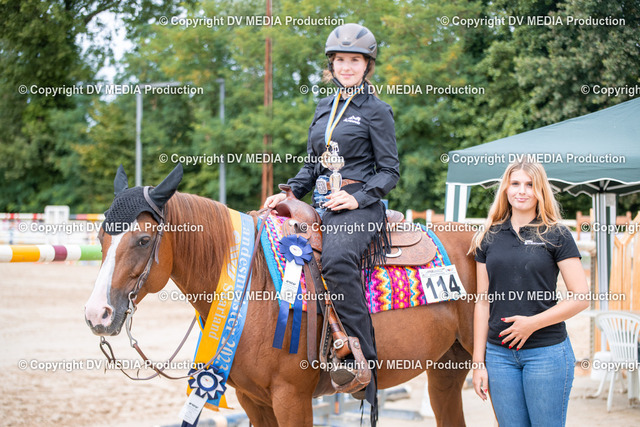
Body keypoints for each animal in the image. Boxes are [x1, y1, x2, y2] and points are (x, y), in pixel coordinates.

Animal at [84, 165, 477, 426]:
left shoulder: (292, 399)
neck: (251, 286)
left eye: (143, 239)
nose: (96, 314)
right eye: (101, 236)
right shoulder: (253, 400)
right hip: (446, 368)